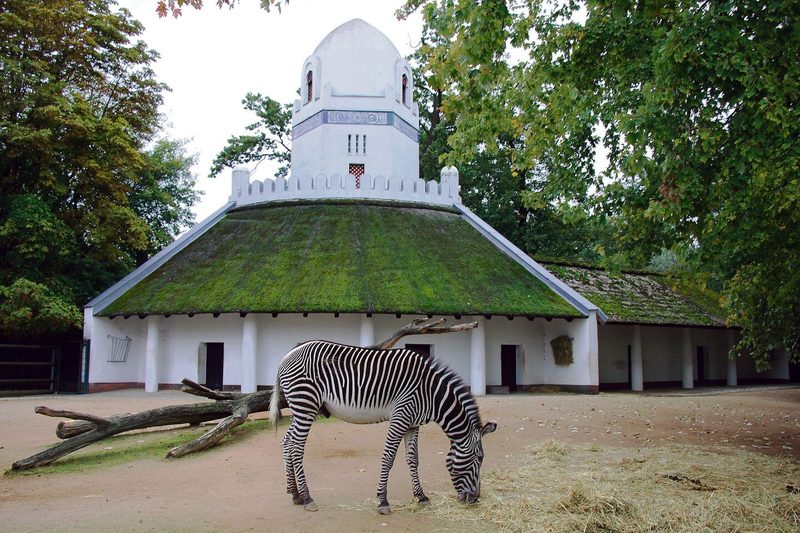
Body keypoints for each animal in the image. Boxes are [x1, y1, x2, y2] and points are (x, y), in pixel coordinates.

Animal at [269, 339, 497, 514]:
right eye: (479, 458)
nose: (475, 499)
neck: (431, 394)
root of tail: (287, 355)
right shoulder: (400, 417)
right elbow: (388, 458)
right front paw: (383, 501)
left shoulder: (413, 424)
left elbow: (413, 460)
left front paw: (421, 496)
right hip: (305, 404)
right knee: (297, 447)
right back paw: (307, 497)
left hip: (301, 408)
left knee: (287, 442)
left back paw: (295, 494)